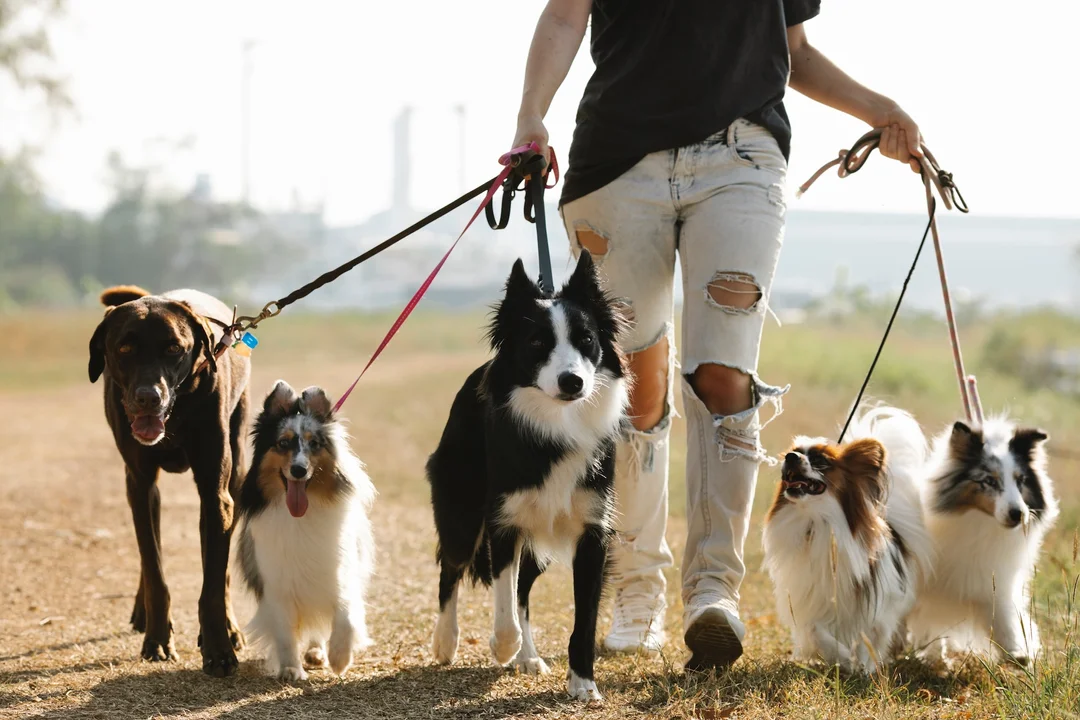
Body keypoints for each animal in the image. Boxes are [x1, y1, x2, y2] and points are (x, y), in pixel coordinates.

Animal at [87, 284, 251, 677]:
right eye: (124, 349)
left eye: (174, 348)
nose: (149, 397)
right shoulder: (140, 483)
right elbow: (154, 570)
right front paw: (158, 639)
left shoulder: (216, 493)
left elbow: (213, 584)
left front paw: (219, 649)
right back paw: (142, 611)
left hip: (235, 475)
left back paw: (230, 628)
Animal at [236, 382, 375, 682]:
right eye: (283, 443)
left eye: (314, 444)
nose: (298, 470)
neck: (301, 516)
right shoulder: (276, 584)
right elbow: (285, 634)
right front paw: (291, 669)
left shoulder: (339, 573)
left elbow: (346, 616)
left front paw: (339, 659)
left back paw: (318, 652)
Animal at [425, 249, 630, 703]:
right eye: (537, 343)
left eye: (586, 340)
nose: (572, 381)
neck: (556, 423)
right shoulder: (504, 520)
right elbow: (502, 600)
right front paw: (503, 646)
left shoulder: (593, 530)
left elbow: (583, 617)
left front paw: (583, 683)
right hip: (462, 507)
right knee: (452, 568)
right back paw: (447, 642)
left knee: (523, 590)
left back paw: (529, 656)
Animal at [764, 405, 933, 677]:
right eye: (796, 451)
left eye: (821, 461)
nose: (790, 456)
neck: (816, 522)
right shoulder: (810, 597)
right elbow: (815, 631)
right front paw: (842, 658)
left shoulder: (876, 606)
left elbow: (868, 638)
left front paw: (862, 667)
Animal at [907, 418, 1058, 669]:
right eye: (989, 480)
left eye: (1021, 480)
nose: (1018, 514)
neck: (979, 524)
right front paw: (932, 655)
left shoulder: (991, 581)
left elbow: (1004, 618)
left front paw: (1019, 653)